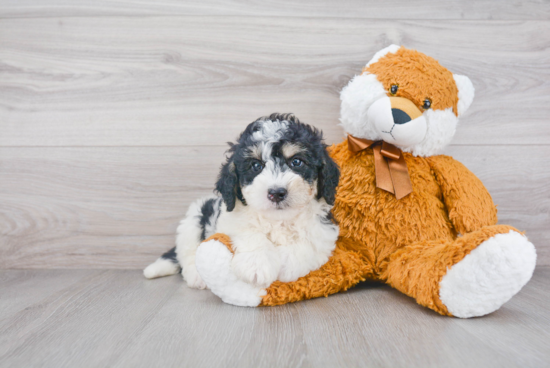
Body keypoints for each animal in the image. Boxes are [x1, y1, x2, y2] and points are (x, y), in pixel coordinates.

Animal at [143, 113, 340, 290]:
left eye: (297, 162)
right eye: (256, 166)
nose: (276, 193)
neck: (279, 219)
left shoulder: (323, 231)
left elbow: (307, 243)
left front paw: (285, 266)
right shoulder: (231, 219)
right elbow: (250, 232)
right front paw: (256, 266)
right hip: (193, 220)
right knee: (187, 253)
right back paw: (196, 276)